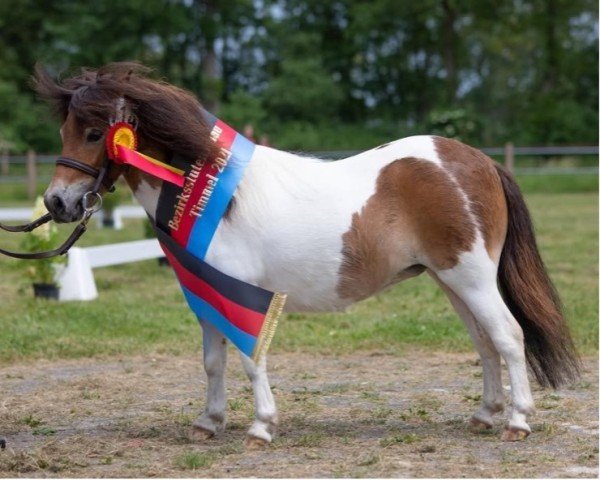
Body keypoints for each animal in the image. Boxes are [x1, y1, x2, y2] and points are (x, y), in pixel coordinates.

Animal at [32, 63, 576, 446]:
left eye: (95, 133)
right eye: (63, 131)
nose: (57, 203)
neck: (215, 196)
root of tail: (479, 160)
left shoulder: (238, 294)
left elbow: (250, 358)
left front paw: (261, 427)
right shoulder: (206, 296)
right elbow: (213, 362)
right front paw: (209, 423)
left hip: (472, 278)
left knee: (508, 337)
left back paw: (518, 422)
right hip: (451, 281)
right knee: (485, 343)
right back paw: (484, 416)